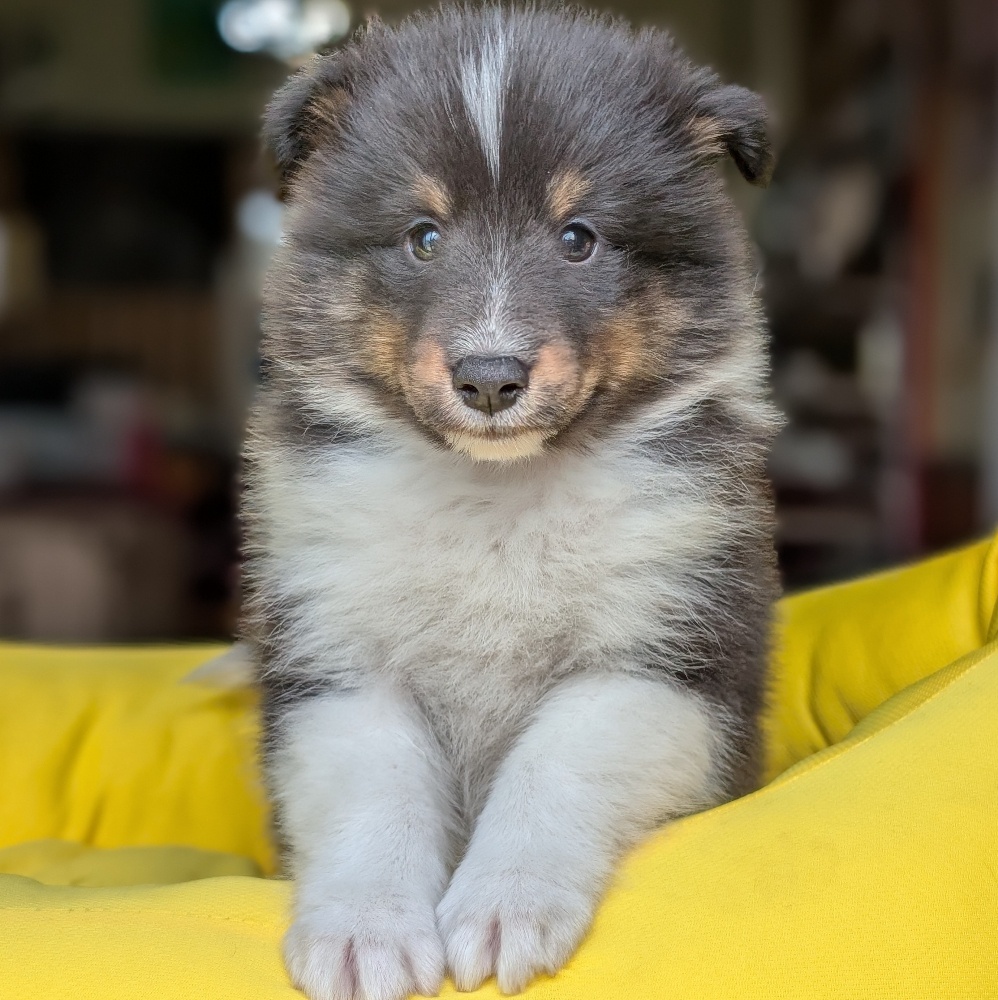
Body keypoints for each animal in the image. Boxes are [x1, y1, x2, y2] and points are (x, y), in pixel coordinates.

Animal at [242, 6, 780, 999]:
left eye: (579, 237)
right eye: (423, 236)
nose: (490, 378)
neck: (497, 497)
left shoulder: (666, 656)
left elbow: (554, 762)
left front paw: (503, 912)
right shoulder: (336, 652)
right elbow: (376, 789)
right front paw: (364, 934)